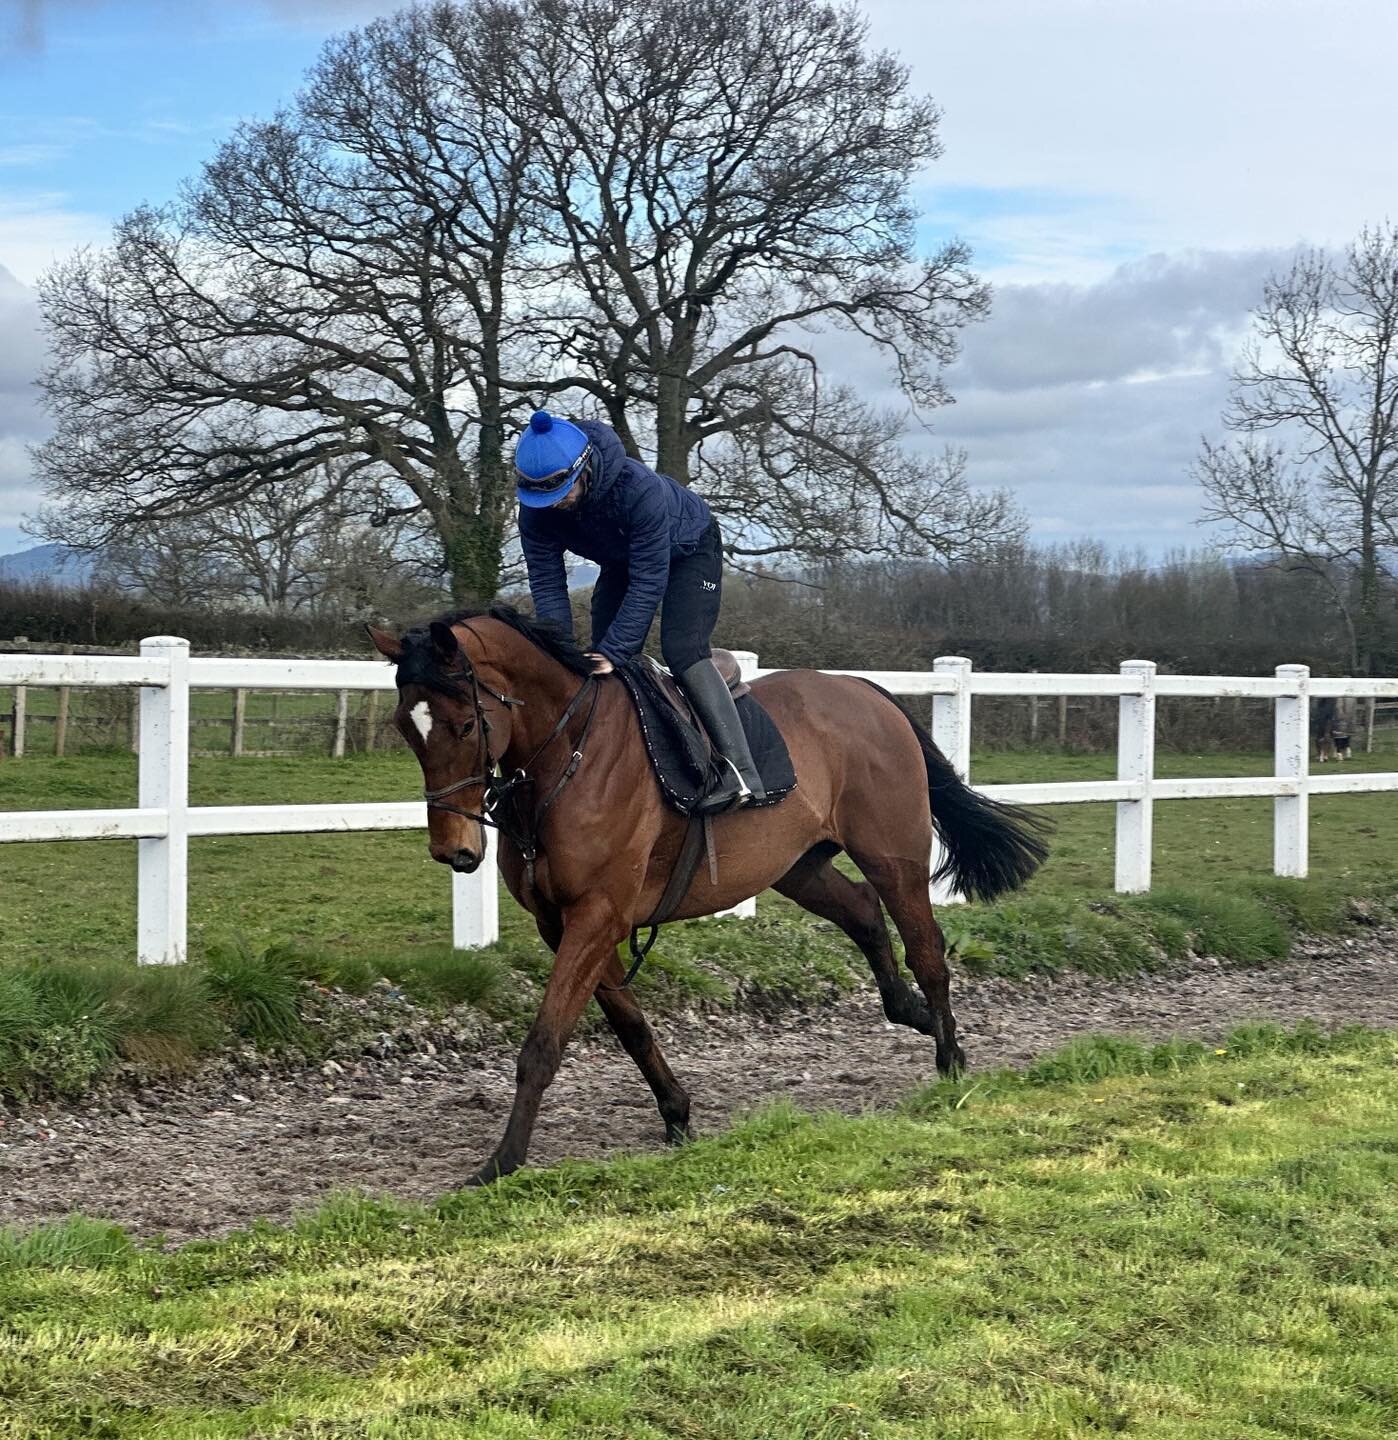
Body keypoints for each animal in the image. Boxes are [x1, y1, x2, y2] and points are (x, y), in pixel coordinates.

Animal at [365, 607, 1042, 1180]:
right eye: (406, 727)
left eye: (465, 724)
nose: (454, 850)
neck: (569, 753)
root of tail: (869, 692)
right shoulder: (565, 924)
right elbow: (631, 1026)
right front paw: (676, 1112)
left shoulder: (596, 916)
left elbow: (544, 1041)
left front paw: (502, 1160)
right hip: (797, 868)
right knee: (863, 914)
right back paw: (914, 1014)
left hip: (893, 857)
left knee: (926, 949)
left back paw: (949, 1057)